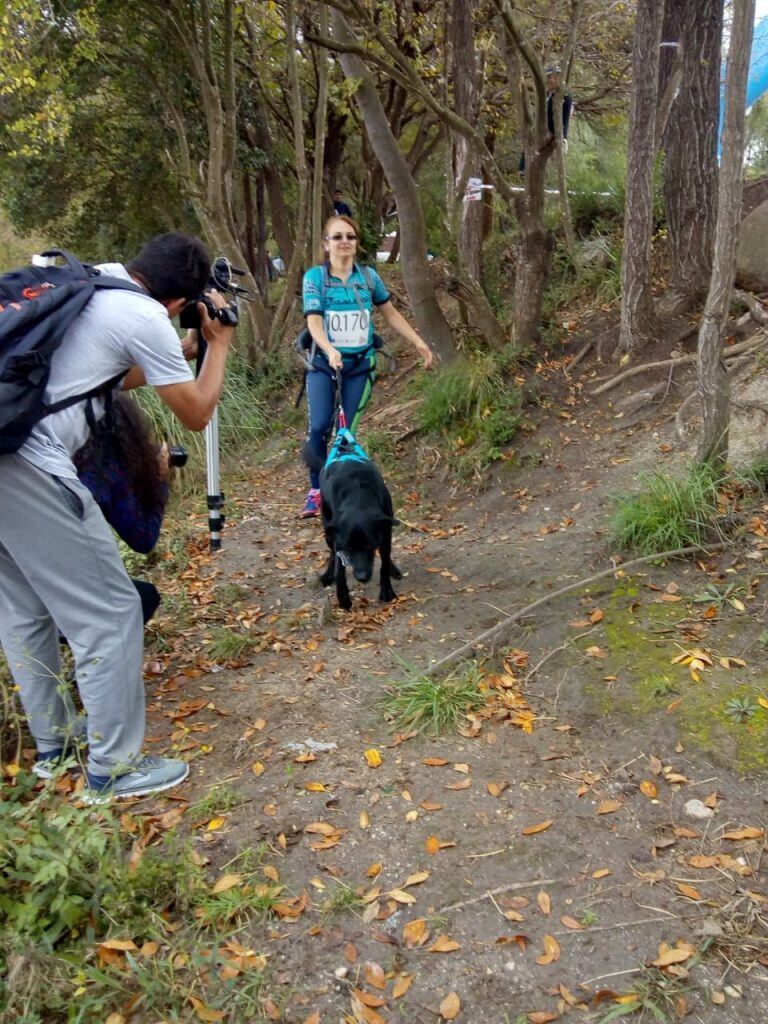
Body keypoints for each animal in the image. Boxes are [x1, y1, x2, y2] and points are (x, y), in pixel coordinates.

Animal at [305, 432, 405, 606]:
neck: (358, 495)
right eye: (348, 547)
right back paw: (328, 574)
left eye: (369, 545)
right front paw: (343, 595)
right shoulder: (339, 539)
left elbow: (384, 563)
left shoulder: (386, 532)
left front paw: (386, 590)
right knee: (332, 554)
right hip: (328, 531)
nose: (361, 577)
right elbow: (340, 567)